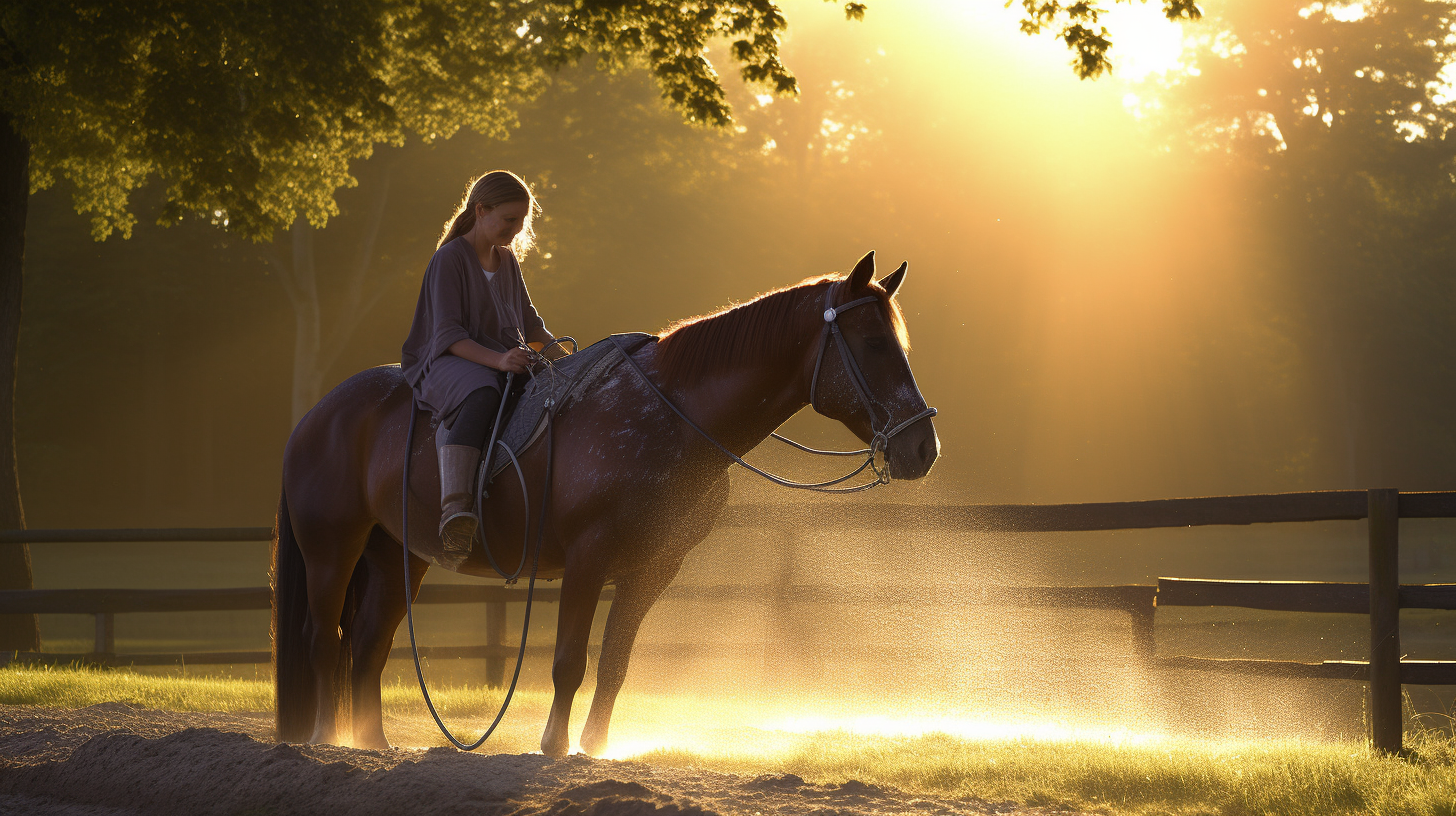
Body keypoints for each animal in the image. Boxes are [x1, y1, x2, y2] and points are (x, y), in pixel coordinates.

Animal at [269, 252, 937, 757]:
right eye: (874, 343)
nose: (921, 447)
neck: (675, 416)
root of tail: (317, 415)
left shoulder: (652, 569)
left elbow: (614, 663)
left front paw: (593, 748)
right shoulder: (587, 561)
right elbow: (569, 660)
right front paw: (553, 746)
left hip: (396, 555)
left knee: (367, 643)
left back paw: (372, 744)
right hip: (333, 551)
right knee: (322, 636)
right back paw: (327, 738)